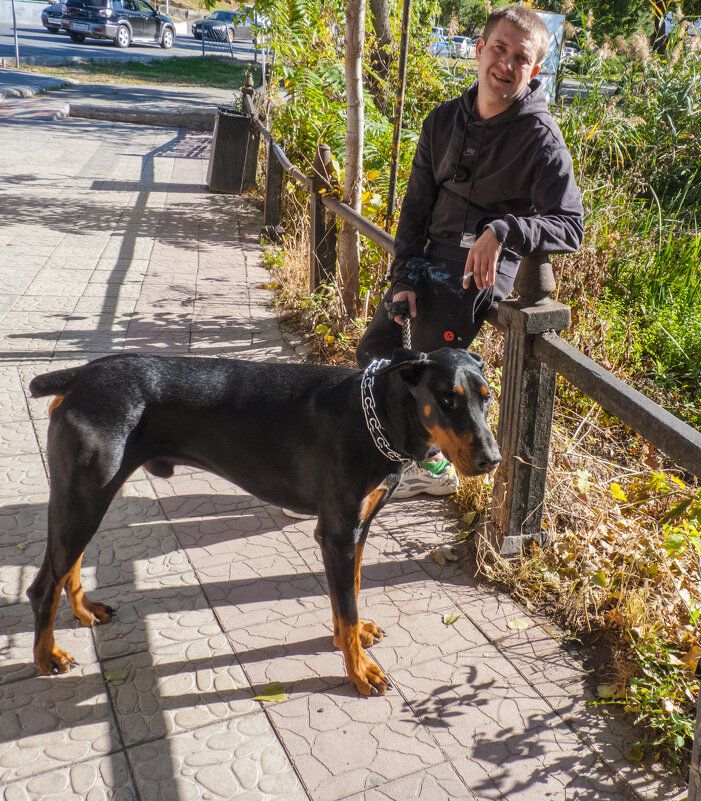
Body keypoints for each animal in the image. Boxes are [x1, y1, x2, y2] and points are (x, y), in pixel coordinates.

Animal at [26, 348, 498, 692]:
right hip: (84, 498)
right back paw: (47, 657)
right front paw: (358, 670)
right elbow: (344, 606)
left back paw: (84, 611)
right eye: (447, 399)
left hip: (86, 499)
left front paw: (352, 636)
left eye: (487, 395)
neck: (376, 418)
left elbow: (352, 590)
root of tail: (79, 376)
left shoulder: (357, 529)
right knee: (42, 586)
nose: (491, 459)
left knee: (68, 565)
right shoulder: (337, 534)